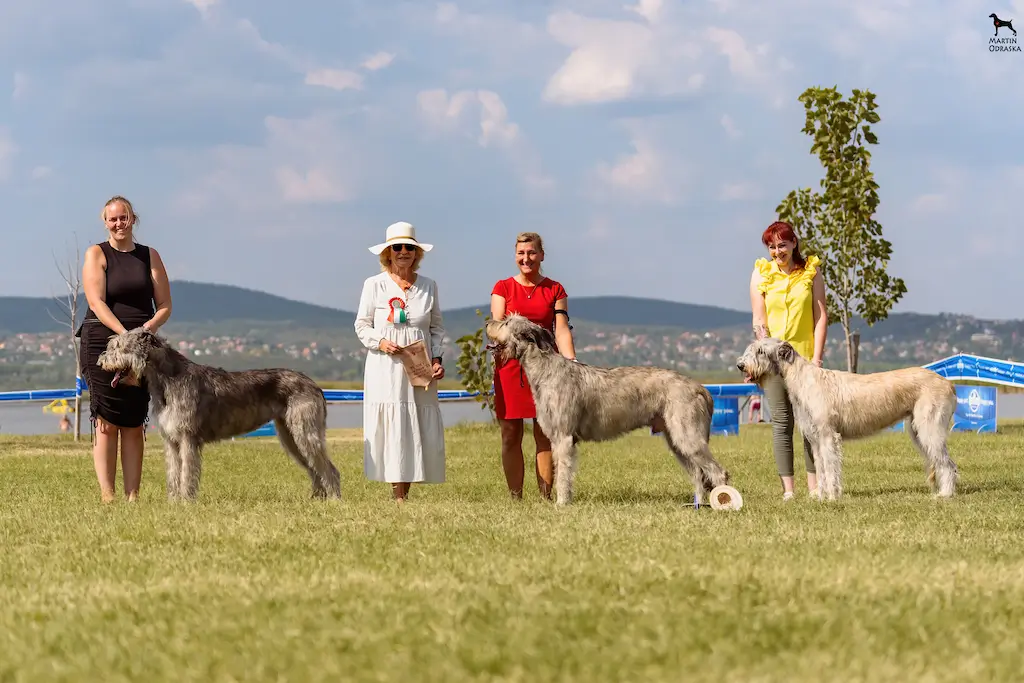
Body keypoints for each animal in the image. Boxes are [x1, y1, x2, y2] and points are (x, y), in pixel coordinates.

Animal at [97, 327, 342, 501]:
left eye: (119, 346)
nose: (100, 362)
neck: (167, 380)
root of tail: (315, 385)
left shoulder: (187, 438)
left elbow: (187, 471)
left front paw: (186, 502)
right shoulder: (172, 441)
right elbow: (174, 472)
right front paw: (173, 501)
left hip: (304, 430)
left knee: (328, 468)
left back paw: (334, 501)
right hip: (289, 434)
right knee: (313, 468)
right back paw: (317, 499)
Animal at [483, 315, 733, 507]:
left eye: (506, 322)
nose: (488, 322)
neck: (545, 369)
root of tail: (702, 388)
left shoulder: (563, 437)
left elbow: (563, 472)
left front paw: (561, 503)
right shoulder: (556, 437)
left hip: (687, 435)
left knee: (718, 472)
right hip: (676, 440)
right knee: (698, 475)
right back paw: (697, 506)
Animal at [737, 337, 958, 501]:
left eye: (760, 351)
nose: (740, 365)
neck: (802, 378)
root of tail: (948, 383)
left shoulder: (828, 435)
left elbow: (830, 467)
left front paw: (833, 497)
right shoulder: (815, 440)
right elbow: (820, 468)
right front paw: (821, 496)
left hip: (929, 427)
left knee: (948, 463)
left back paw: (945, 494)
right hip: (917, 430)